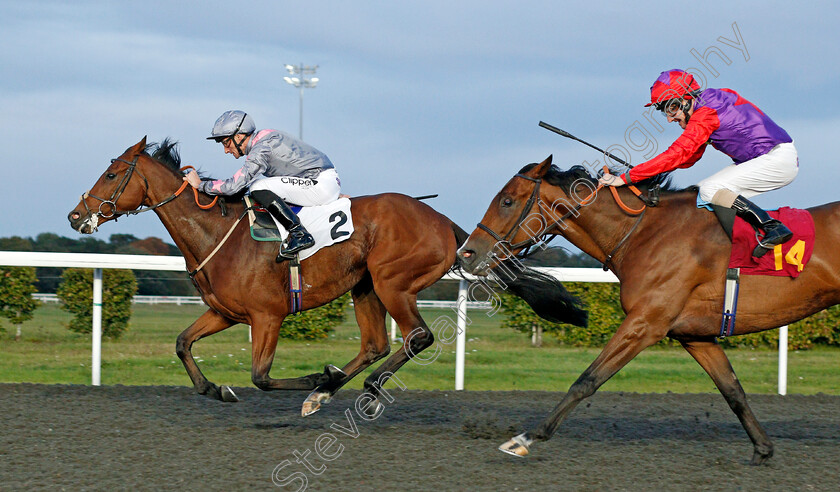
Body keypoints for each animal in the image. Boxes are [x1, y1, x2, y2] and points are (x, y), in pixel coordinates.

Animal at [69, 138, 588, 418]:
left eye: (112, 174)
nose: (76, 216)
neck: (218, 234)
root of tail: (447, 224)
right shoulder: (225, 313)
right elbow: (182, 344)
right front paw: (218, 389)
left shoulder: (268, 316)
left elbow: (261, 377)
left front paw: (317, 375)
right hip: (364, 286)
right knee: (375, 344)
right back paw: (328, 392)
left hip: (391, 281)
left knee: (416, 336)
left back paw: (355, 389)